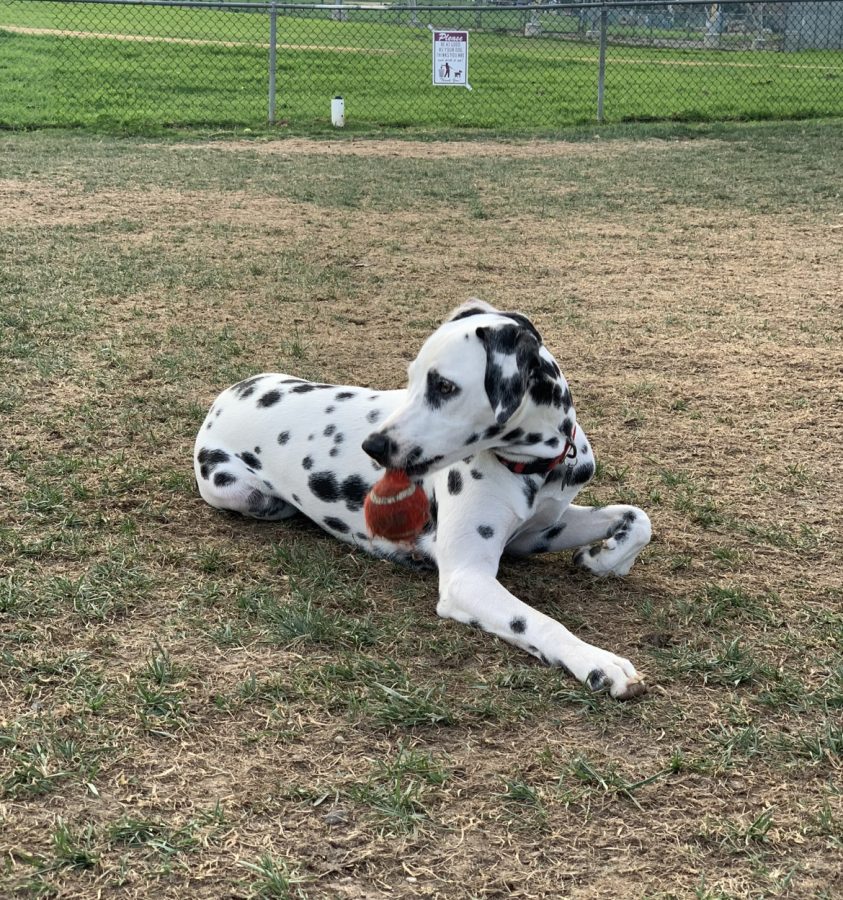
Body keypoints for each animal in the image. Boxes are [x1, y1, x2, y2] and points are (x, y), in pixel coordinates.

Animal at [196, 298, 652, 700]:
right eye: (412, 377)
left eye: (445, 386)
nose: (373, 446)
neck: (538, 467)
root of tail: (227, 394)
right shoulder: (467, 577)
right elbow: (539, 622)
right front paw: (597, 661)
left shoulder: (538, 532)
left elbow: (638, 518)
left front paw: (604, 559)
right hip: (237, 491)